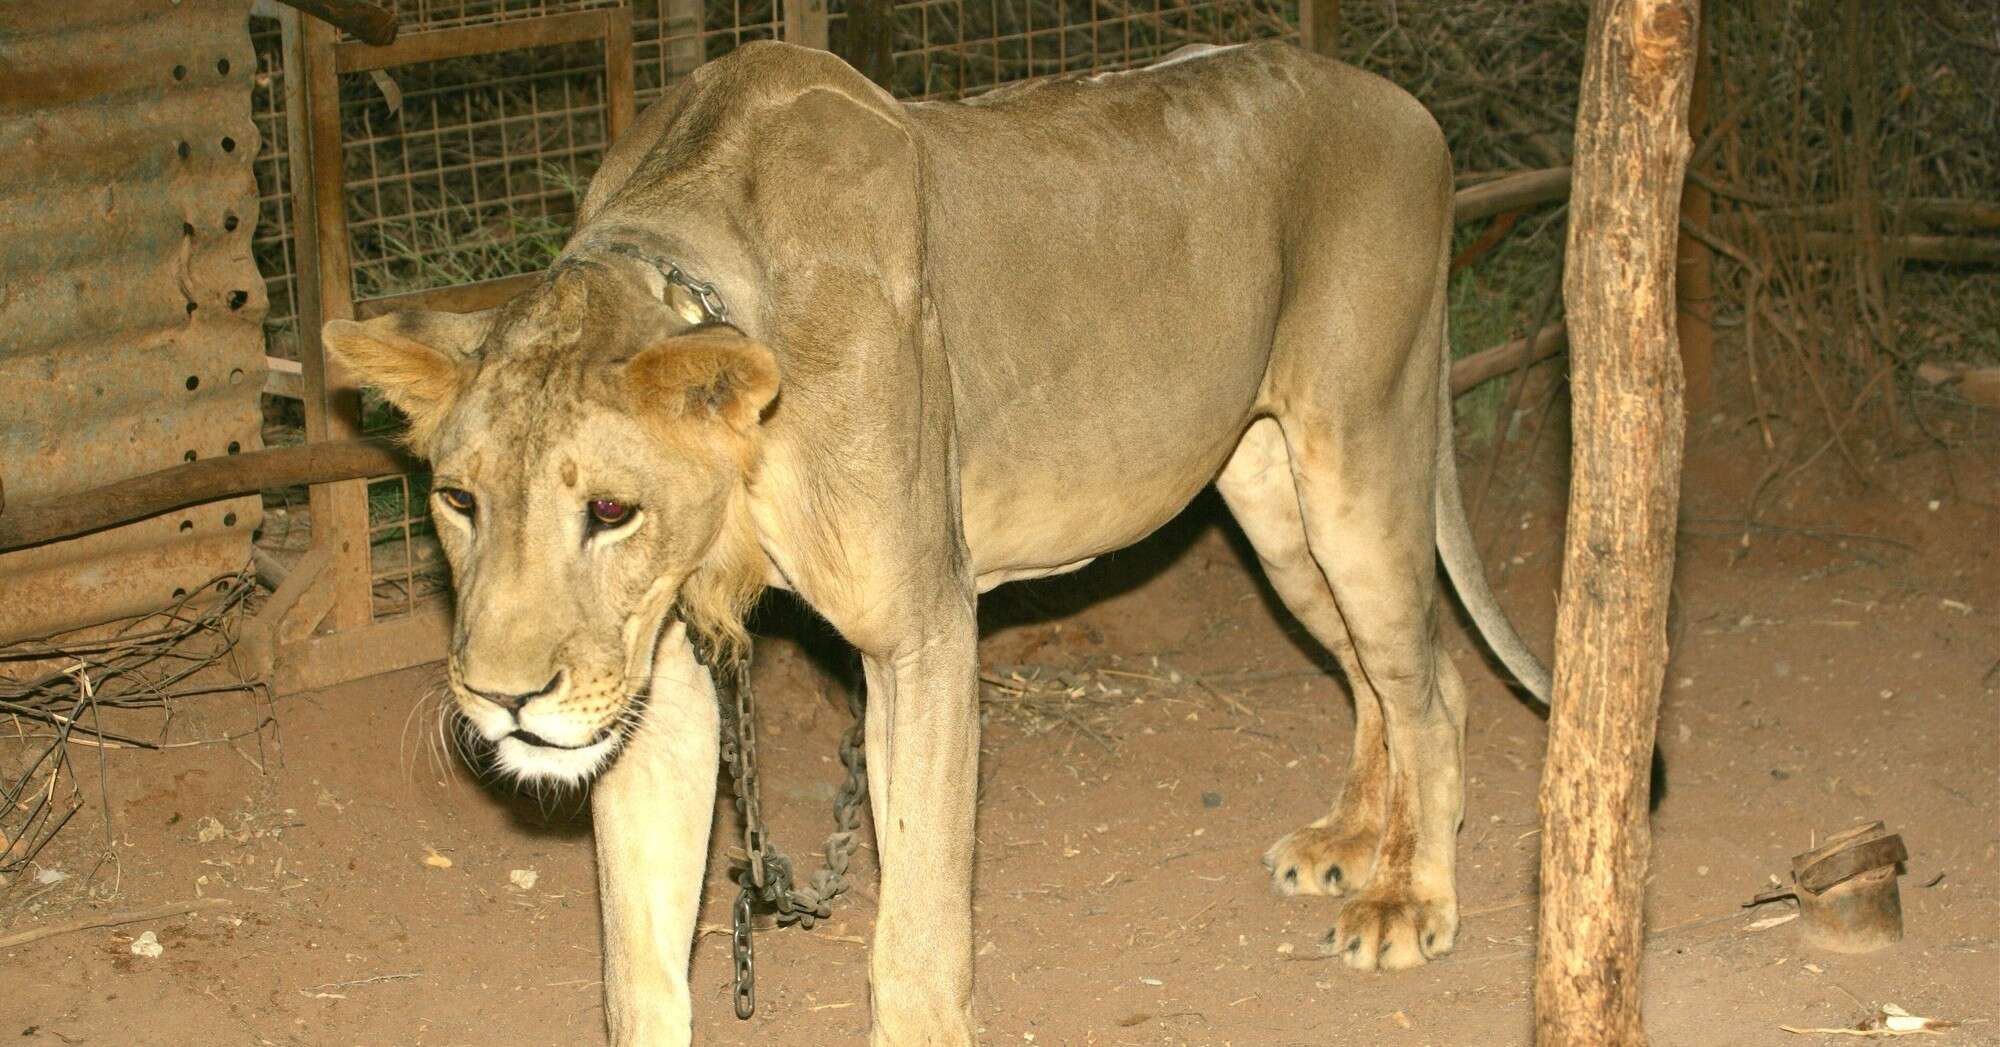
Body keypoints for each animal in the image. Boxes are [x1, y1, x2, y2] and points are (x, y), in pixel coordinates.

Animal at [323, 39, 1550, 1046]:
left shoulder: (920, 633)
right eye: (459, 500)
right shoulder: (655, 673)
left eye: (612, 512)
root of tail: (1401, 103)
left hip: (1359, 449)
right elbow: (639, 960)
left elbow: (916, 929)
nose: (502, 699)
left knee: (1431, 682)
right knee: (1371, 672)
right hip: (1271, 500)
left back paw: (1408, 899)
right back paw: (1350, 839)